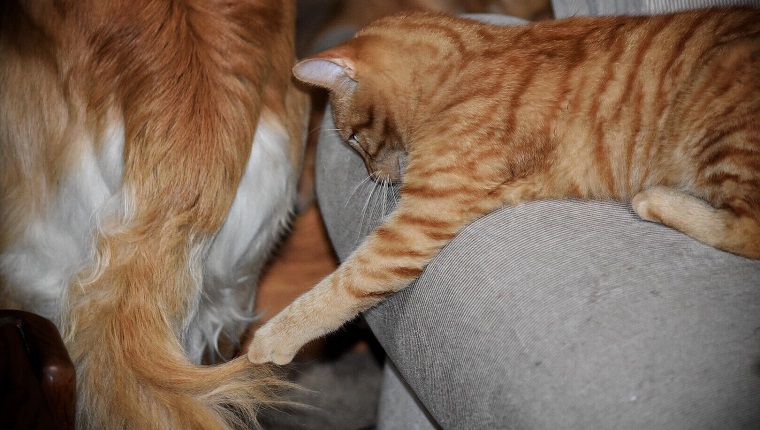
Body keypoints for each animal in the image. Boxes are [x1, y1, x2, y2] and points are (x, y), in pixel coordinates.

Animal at [246, 7, 756, 362]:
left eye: (352, 139)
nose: (373, 173)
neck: (458, 69)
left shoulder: (414, 223)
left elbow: (342, 285)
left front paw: (269, 341)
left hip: (723, 137)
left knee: (747, 230)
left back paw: (656, 199)